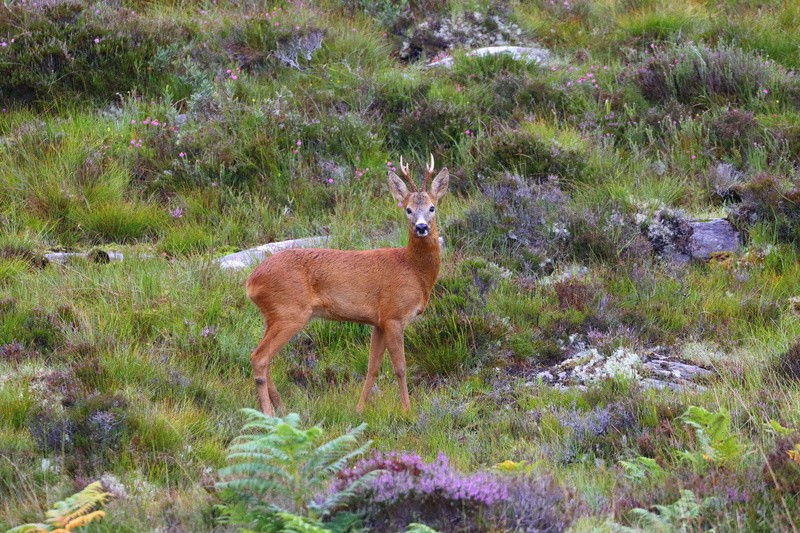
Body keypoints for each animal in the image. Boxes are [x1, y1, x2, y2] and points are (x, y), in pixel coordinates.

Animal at [245, 155, 449, 416]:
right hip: (289, 312)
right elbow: (400, 367)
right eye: (408, 209)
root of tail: (251, 282)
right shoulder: (394, 315)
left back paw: (281, 407)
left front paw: (359, 409)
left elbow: (373, 367)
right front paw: (407, 410)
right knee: (259, 357)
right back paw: (269, 414)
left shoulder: (378, 321)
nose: (421, 227)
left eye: (432, 207)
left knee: (263, 357)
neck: (413, 270)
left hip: (272, 316)